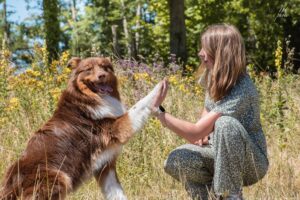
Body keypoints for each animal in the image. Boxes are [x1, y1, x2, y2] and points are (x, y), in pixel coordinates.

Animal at [0, 57, 162, 199]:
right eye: (88, 69)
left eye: (104, 67)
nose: (102, 75)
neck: (88, 97)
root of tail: (11, 187)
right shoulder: (116, 128)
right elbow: (139, 105)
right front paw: (159, 88)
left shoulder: (105, 167)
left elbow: (117, 194)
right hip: (59, 176)